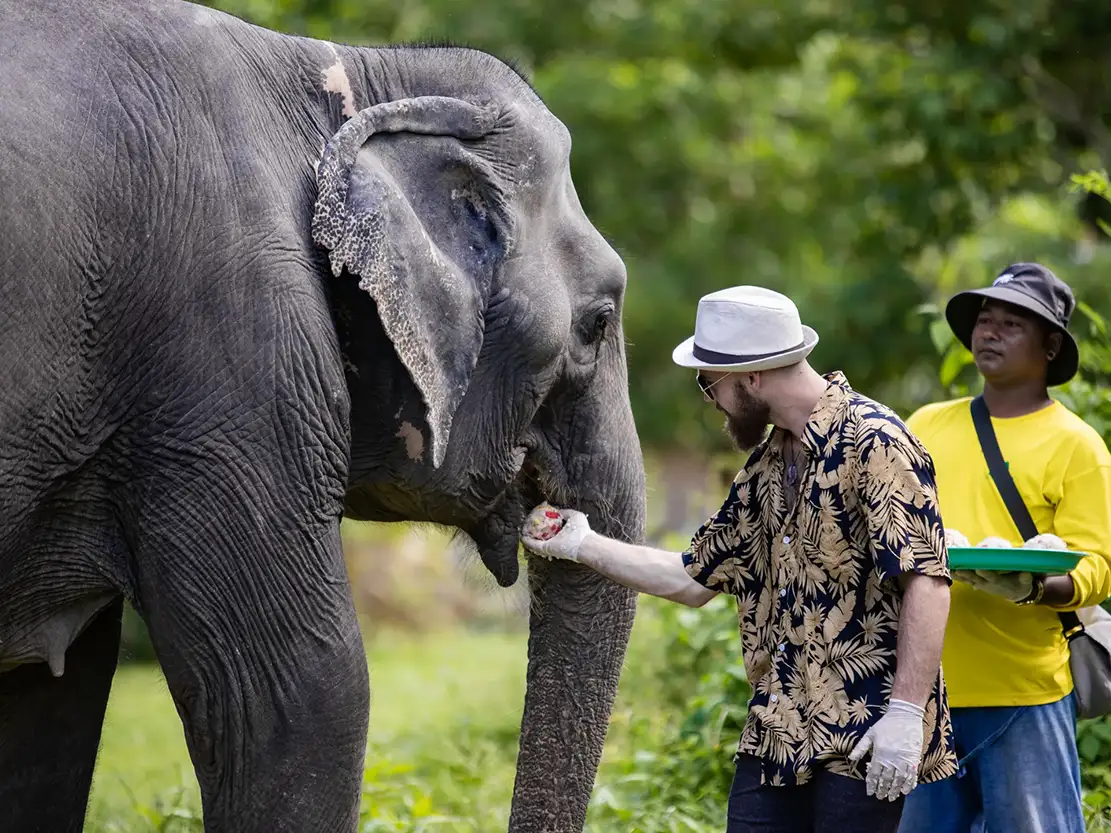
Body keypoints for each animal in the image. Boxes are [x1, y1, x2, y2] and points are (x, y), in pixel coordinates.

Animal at [0, 1, 647, 832]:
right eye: (597, 323)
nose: (556, 519)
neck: (348, 74)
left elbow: (50, 707)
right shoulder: (229, 356)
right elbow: (296, 692)